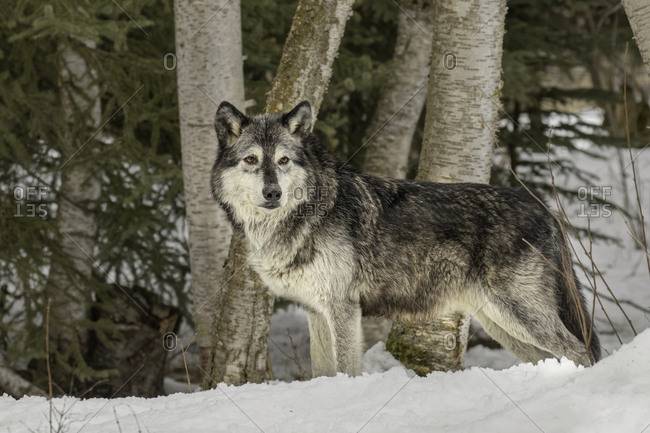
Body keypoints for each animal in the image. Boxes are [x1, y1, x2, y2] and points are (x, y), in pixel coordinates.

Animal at [210, 100, 601, 377]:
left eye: (284, 161)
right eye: (251, 160)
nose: (272, 193)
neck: (306, 216)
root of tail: (545, 208)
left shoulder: (343, 309)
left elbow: (346, 370)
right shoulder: (315, 311)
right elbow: (323, 373)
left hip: (520, 314)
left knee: (580, 351)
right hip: (501, 322)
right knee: (550, 357)